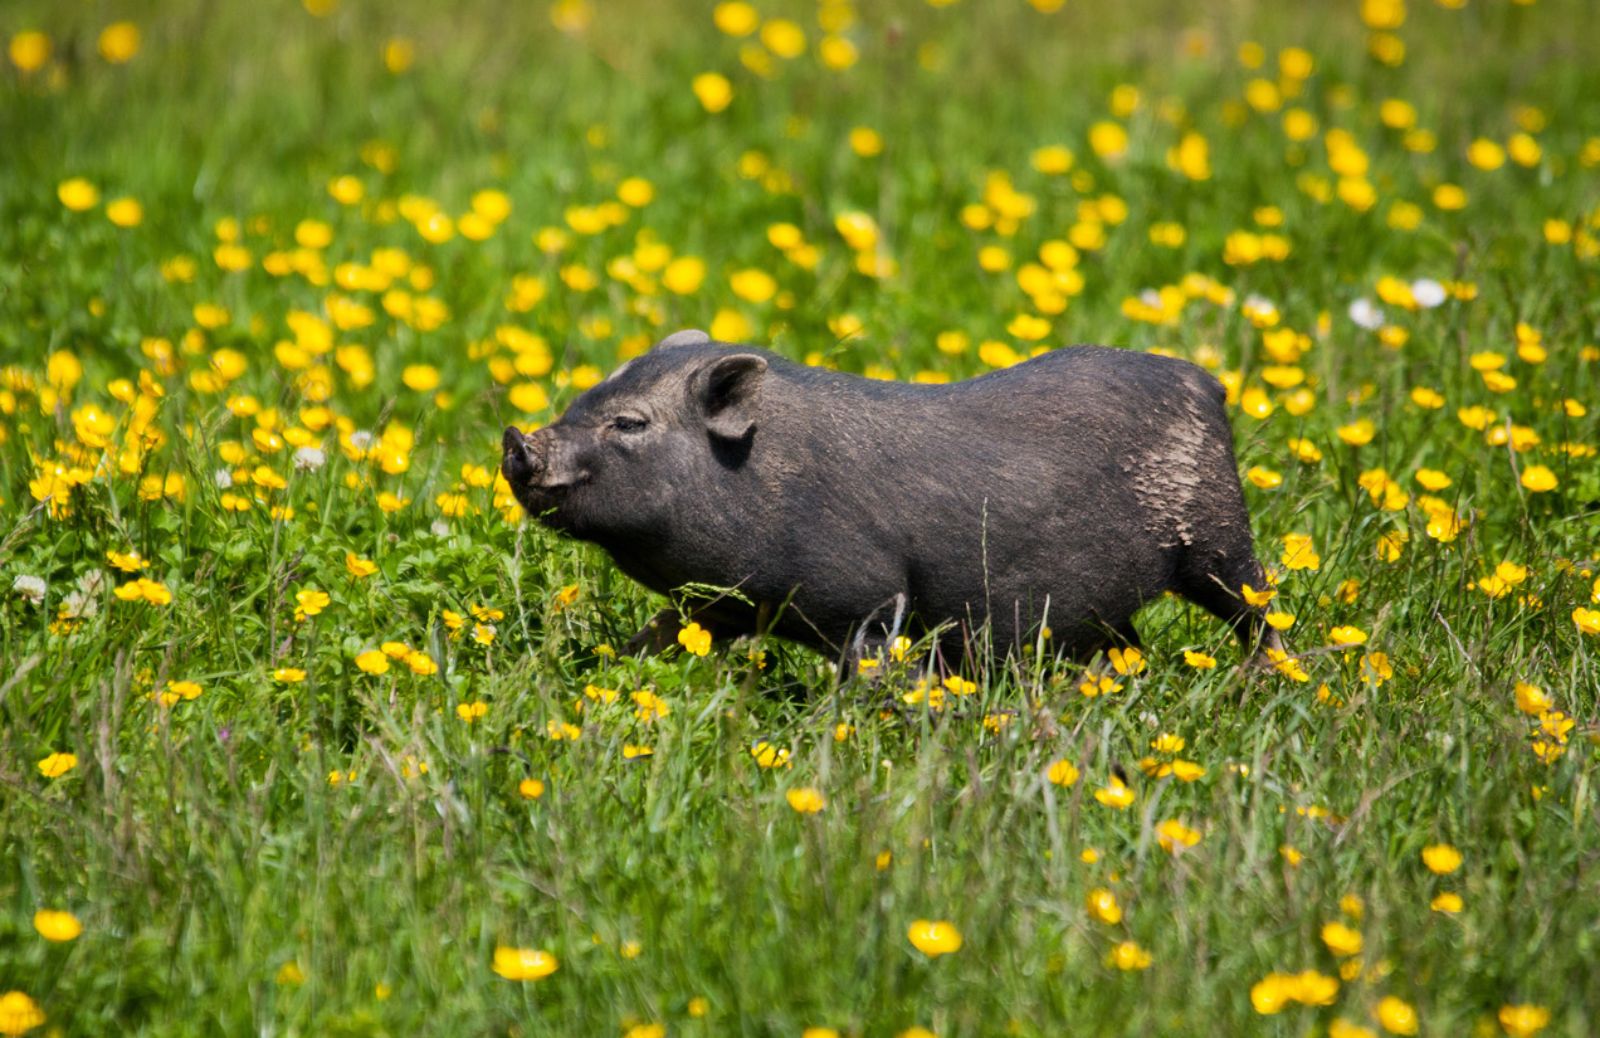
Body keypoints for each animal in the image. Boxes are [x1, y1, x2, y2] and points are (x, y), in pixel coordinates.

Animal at [499, 327, 1273, 665]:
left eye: (630, 423)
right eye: (588, 393)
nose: (518, 442)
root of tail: (1207, 382)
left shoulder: (867, 606)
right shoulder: (715, 607)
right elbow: (656, 640)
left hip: (1218, 541)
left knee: (1258, 610)